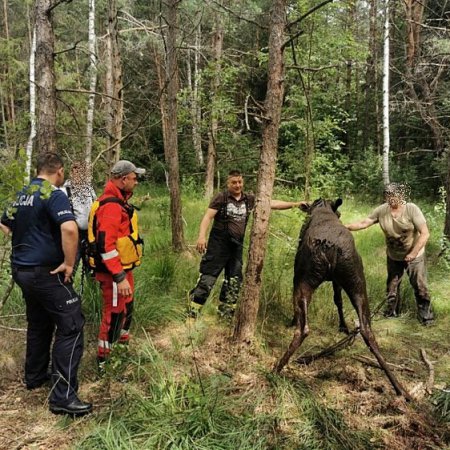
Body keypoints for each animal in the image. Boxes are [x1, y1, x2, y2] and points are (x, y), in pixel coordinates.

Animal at [274, 199, 412, 400]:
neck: (322, 207)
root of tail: (329, 246)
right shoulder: (338, 281)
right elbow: (338, 302)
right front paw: (343, 326)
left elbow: (334, 301)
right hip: (357, 283)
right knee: (367, 329)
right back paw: (400, 388)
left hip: (302, 279)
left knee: (303, 328)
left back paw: (276, 368)